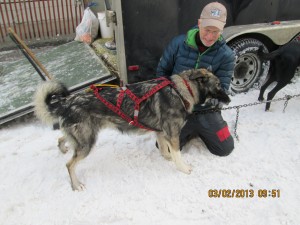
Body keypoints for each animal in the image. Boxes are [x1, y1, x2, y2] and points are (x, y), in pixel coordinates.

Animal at [34, 68, 230, 190]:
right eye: (219, 85)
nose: (229, 99)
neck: (181, 91)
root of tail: (66, 103)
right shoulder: (172, 134)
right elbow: (177, 155)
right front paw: (183, 168)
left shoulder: (161, 133)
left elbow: (165, 151)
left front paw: (167, 159)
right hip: (87, 143)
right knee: (69, 164)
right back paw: (76, 185)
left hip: (81, 138)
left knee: (62, 138)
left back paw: (63, 147)